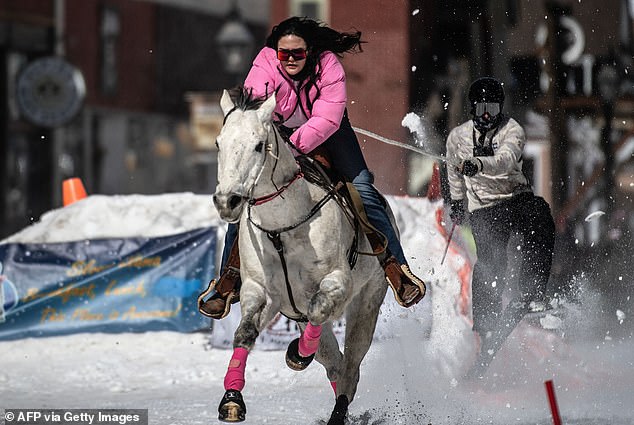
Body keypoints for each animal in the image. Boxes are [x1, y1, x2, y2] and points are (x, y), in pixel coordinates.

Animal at [212, 87, 388, 424]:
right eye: (219, 143)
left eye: (258, 145)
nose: (227, 201)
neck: (282, 228)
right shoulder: (260, 290)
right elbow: (244, 332)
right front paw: (231, 399)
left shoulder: (337, 281)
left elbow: (319, 310)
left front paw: (297, 353)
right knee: (335, 364)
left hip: (367, 302)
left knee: (349, 368)